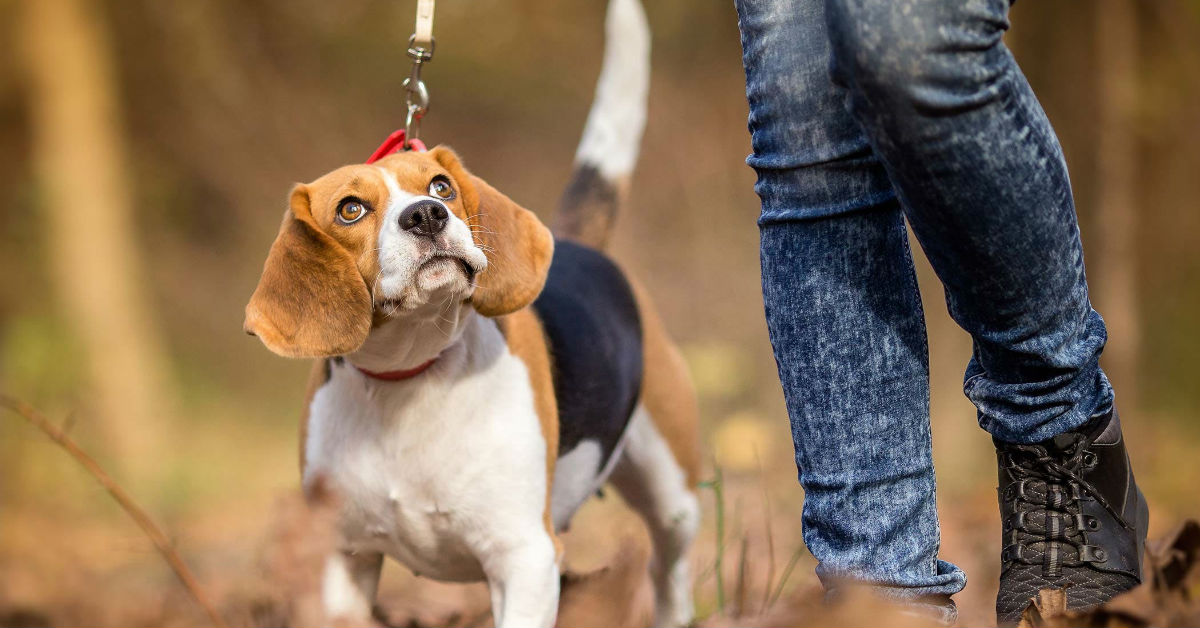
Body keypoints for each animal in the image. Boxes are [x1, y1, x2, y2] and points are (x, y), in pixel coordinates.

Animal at [241, 1, 700, 628]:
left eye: (441, 186)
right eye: (351, 210)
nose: (427, 215)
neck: (408, 380)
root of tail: (578, 244)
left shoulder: (524, 558)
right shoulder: (345, 558)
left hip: (673, 497)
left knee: (669, 571)